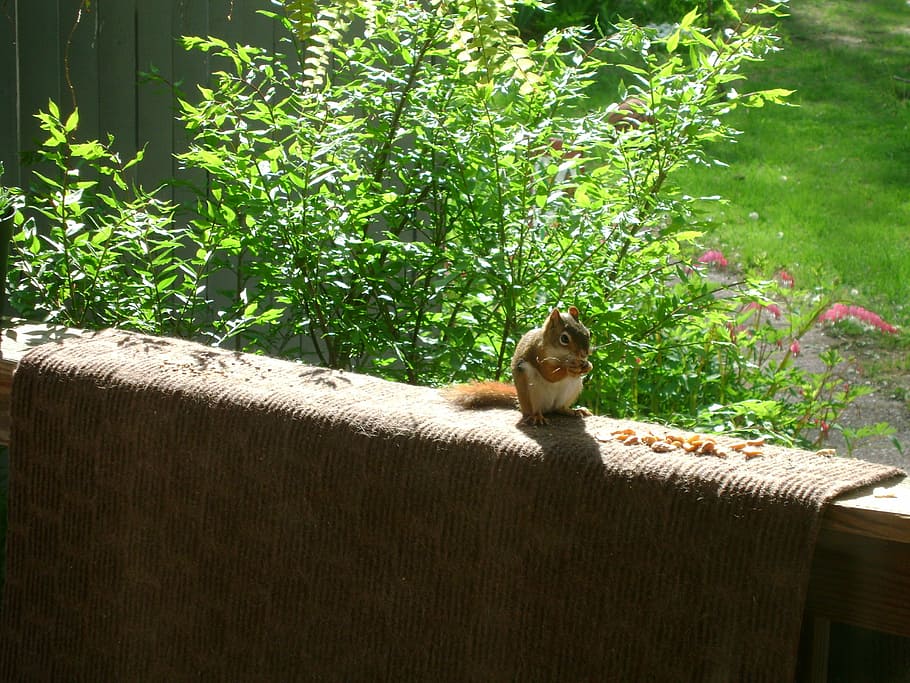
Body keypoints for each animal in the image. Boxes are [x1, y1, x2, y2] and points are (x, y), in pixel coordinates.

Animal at [444, 306, 593, 425]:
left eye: (588, 333)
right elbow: (549, 374)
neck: (562, 356)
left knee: (559, 408)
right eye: (564, 338)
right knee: (534, 409)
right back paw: (537, 417)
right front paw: (569, 368)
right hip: (530, 389)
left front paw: (588, 365)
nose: (584, 354)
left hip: (573, 388)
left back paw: (573, 410)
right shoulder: (537, 353)